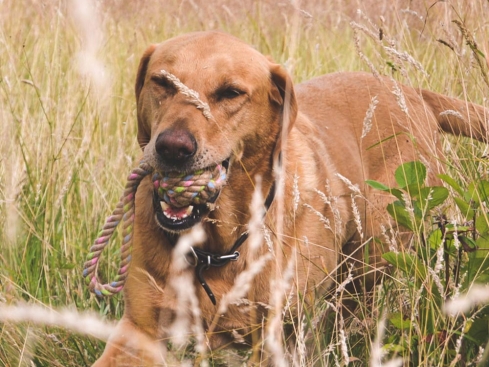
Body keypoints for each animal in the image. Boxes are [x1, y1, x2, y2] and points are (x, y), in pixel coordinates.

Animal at [92, 30, 488, 366]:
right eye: (162, 82)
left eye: (231, 93)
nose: (173, 148)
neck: (218, 245)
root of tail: (411, 91)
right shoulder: (139, 331)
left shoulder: (278, 337)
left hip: (375, 254)